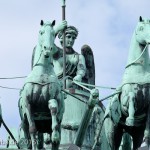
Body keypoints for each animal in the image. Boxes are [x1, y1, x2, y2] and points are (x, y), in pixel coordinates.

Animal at [18, 20, 63, 150]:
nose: (47, 48)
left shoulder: (53, 97)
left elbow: (53, 106)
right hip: (24, 125)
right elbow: (33, 129)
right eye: (41, 32)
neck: (42, 72)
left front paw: (55, 135)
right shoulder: (28, 104)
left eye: (53, 33)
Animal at [104, 16, 150, 150]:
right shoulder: (125, 101)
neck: (139, 71)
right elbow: (131, 97)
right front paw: (130, 119)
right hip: (113, 132)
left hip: (136, 134)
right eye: (141, 28)